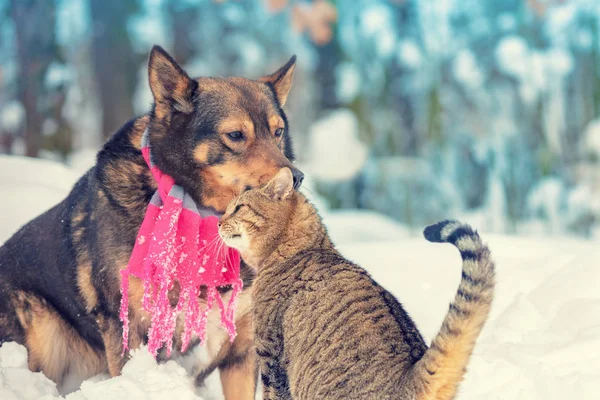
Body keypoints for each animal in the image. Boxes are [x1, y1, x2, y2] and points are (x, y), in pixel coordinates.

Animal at [0, 45, 302, 398]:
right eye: (235, 135)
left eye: (278, 132)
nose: (296, 178)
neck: (199, 215)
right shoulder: (132, 331)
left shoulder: (241, 350)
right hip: (44, 337)